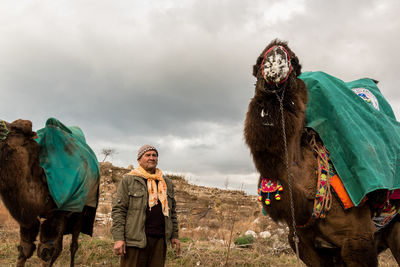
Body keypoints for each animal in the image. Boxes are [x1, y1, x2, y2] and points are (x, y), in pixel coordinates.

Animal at [0, 120, 99, 267]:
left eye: (17, 130)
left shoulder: (60, 212)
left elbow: (46, 251)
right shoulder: (28, 219)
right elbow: (25, 248)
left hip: (81, 211)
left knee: (73, 245)